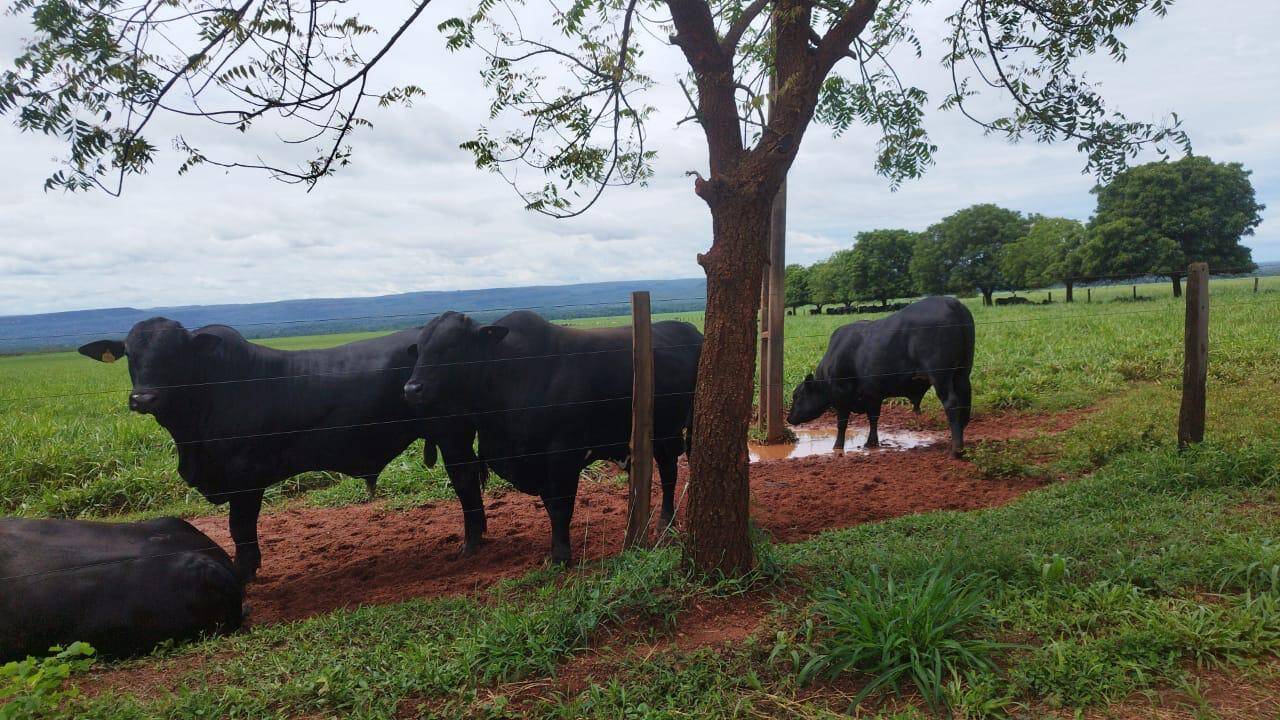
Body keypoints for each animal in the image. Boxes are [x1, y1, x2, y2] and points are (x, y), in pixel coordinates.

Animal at [78, 316, 481, 579]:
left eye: (175, 354)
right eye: (130, 354)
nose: (143, 398)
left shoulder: (244, 478)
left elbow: (240, 529)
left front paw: (244, 573)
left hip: (453, 435)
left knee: (465, 483)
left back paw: (472, 544)